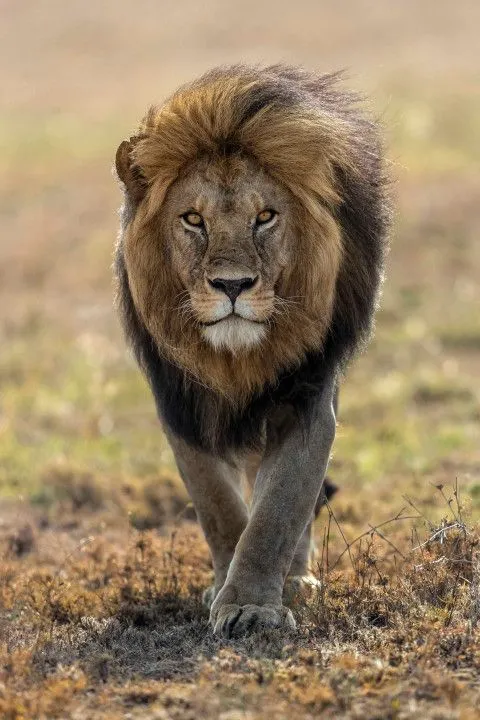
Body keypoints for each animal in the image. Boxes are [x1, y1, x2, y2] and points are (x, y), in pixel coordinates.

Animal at [114, 65, 390, 638]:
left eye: (265, 216)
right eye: (192, 219)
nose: (233, 285)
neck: (235, 361)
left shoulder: (307, 398)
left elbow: (279, 507)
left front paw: (253, 606)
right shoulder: (180, 406)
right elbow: (218, 507)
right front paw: (225, 588)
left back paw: (297, 579)